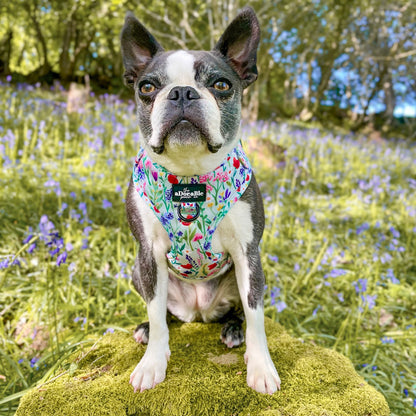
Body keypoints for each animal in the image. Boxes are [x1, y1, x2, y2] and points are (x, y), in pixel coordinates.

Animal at [122, 7, 282, 396]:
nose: (182, 92)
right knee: (162, 311)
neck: (189, 175)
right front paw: (153, 362)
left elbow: (256, 314)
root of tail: (198, 313)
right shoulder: (147, 253)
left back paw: (233, 330)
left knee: (238, 310)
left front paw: (260, 367)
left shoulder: (248, 254)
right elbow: (155, 311)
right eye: (147, 87)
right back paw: (147, 330)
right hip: (136, 271)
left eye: (222, 85)